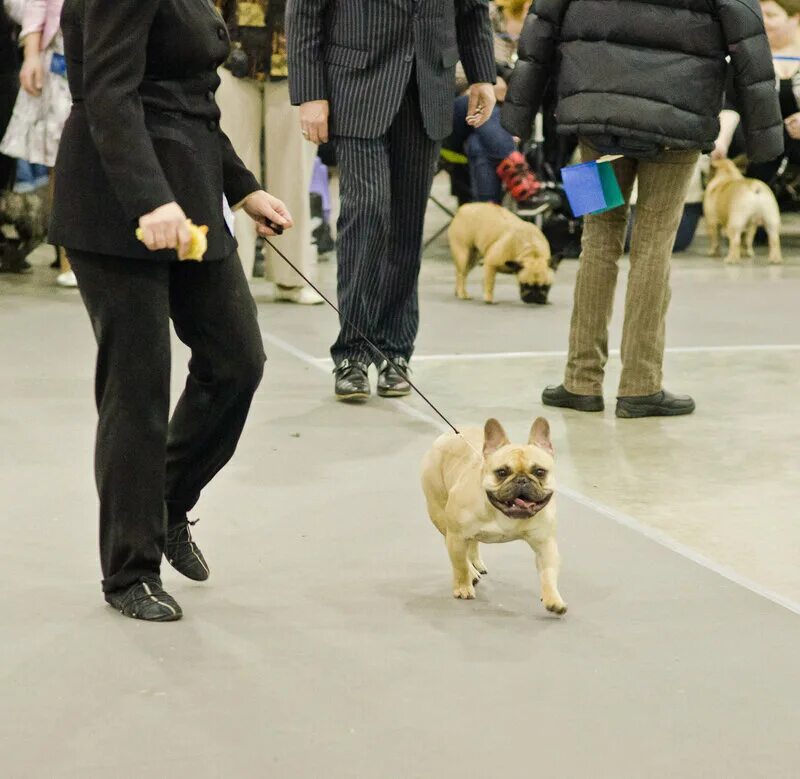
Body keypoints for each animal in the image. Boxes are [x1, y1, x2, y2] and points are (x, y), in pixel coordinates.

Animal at [422, 420, 564, 616]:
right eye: (502, 472)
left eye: (540, 472)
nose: (522, 480)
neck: (502, 512)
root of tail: (447, 435)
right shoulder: (456, 536)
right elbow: (459, 564)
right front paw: (463, 587)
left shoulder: (545, 544)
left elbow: (548, 572)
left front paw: (553, 599)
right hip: (440, 514)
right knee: (454, 548)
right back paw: (471, 572)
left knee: (472, 542)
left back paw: (476, 563)